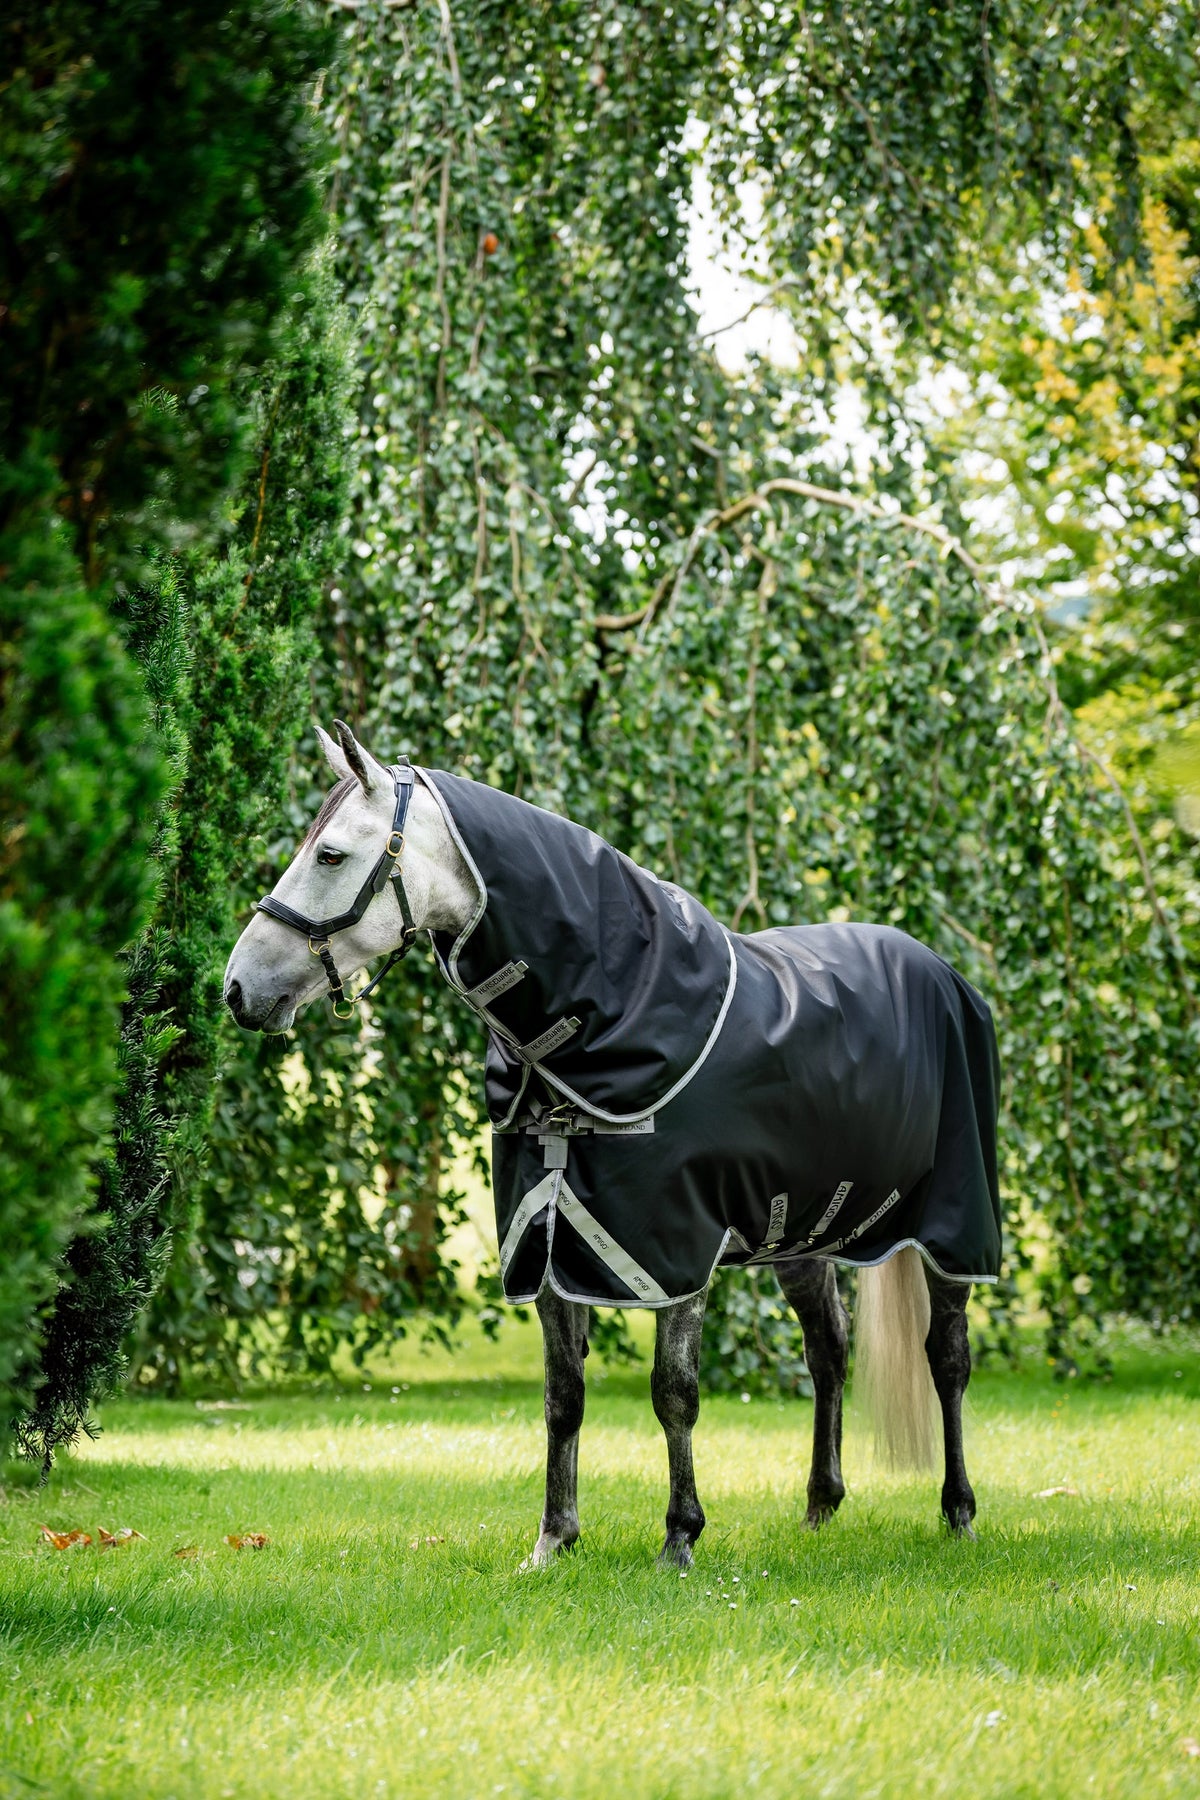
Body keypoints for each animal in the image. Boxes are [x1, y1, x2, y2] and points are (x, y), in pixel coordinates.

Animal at [225, 720, 1001, 1565]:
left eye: (330, 855)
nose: (237, 990)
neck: (609, 1014)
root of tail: (944, 973)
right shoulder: (545, 1239)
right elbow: (563, 1396)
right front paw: (552, 1541)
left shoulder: (674, 1253)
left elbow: (675, 1393)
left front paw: (680, 1537)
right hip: (800, 1236)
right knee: (827, 1351)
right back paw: (820, 1508)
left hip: (953, 1228)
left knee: (948, 1359)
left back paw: (960, 1511)